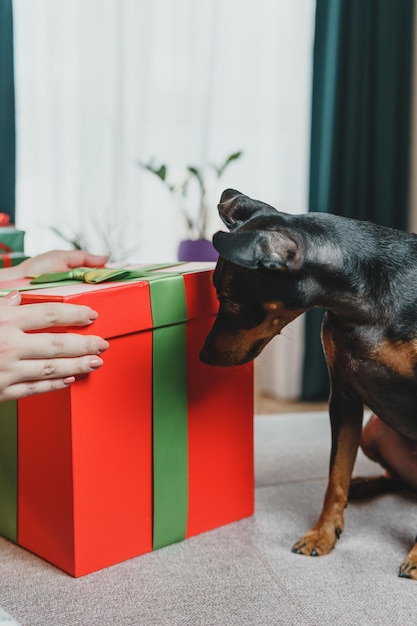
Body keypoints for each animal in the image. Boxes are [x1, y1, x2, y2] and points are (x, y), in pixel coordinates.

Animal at [202, 188, 417, 576]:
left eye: (231, 301)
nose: (204, 356)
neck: (365, 305)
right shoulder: (344, 397)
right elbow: (336, 475)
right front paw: (323, 534)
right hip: (373, 429)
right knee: (401, 481)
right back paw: (363, 486)